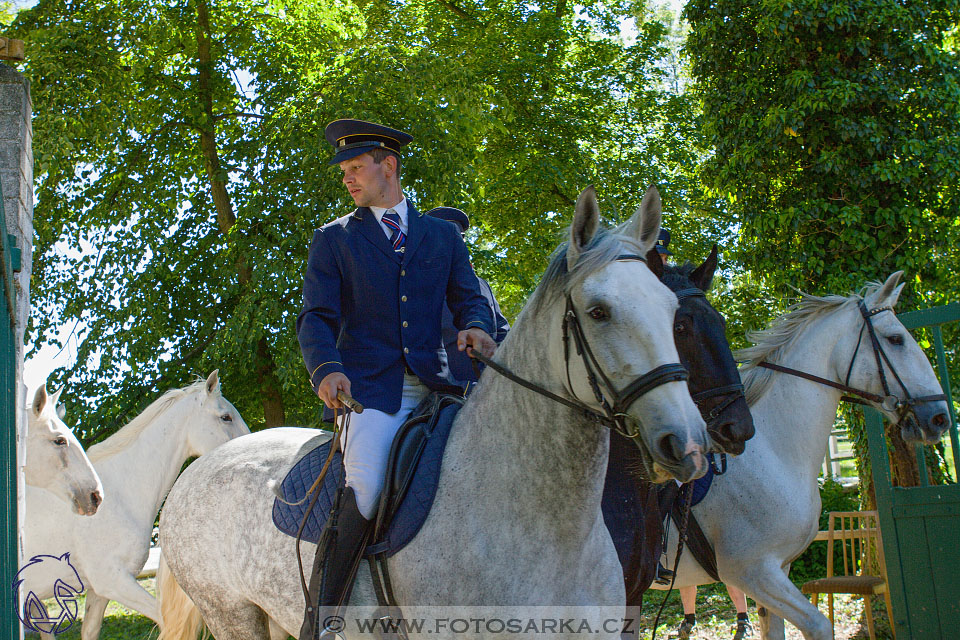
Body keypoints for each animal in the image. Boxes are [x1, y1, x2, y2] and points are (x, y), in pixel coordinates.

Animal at [158, 185, 708, 640]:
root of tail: (197, 471)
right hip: (232, 615)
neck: (551, 530)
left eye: (671, 313)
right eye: (598, 312)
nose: (688, 444)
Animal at [652, 272, 952, 640]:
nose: (939, 418)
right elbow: (819, 624)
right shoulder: (752, 571)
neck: (774, 454)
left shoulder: (779, 570)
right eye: (896, 339)